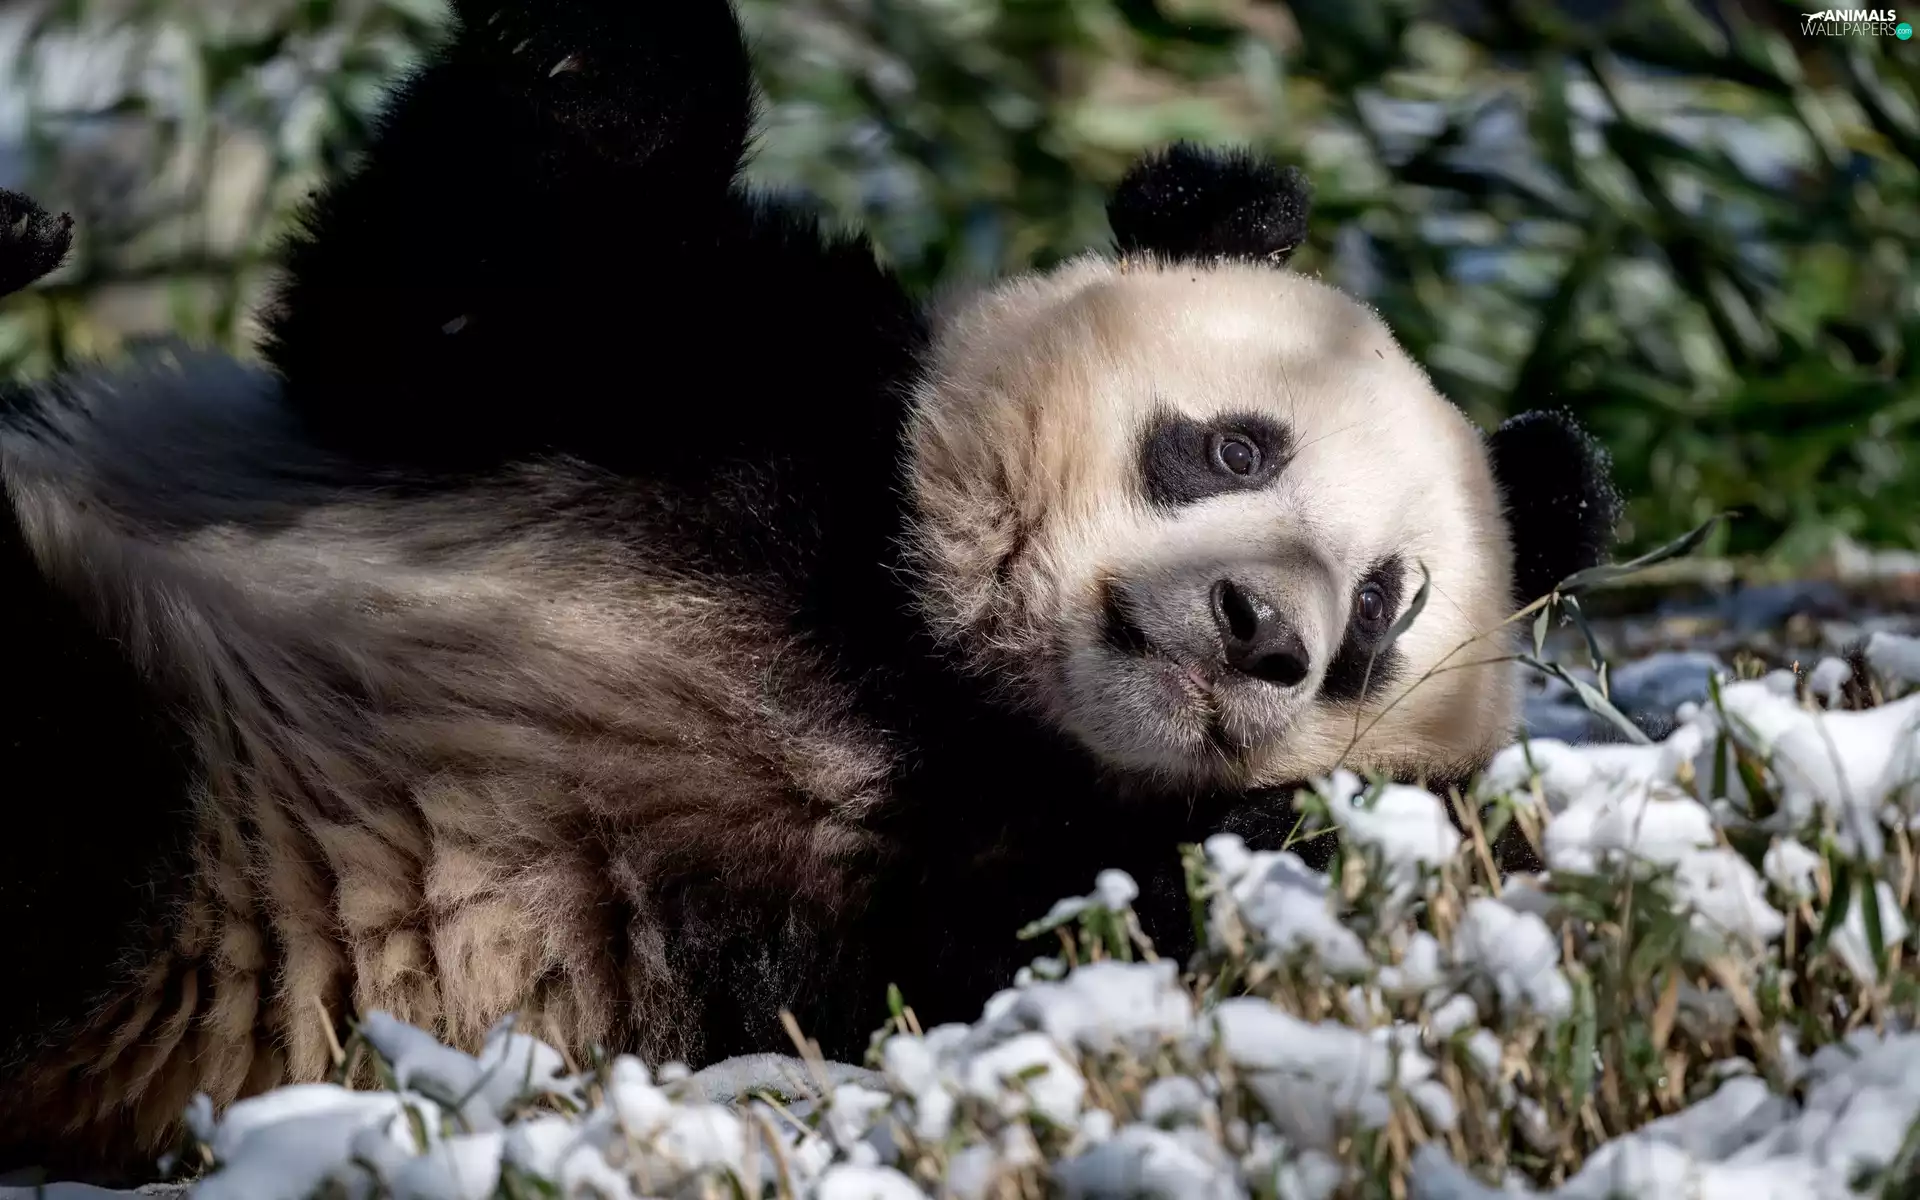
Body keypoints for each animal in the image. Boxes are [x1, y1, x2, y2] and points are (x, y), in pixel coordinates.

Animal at [0, 0, 1618, 1181]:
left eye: (1377, 614)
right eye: (1235, 445)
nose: (1264, 632)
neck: (915, 656)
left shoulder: (851, 901)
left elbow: (1019, 956)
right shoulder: (757, 399)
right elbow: (422, 313)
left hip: (195, 886)